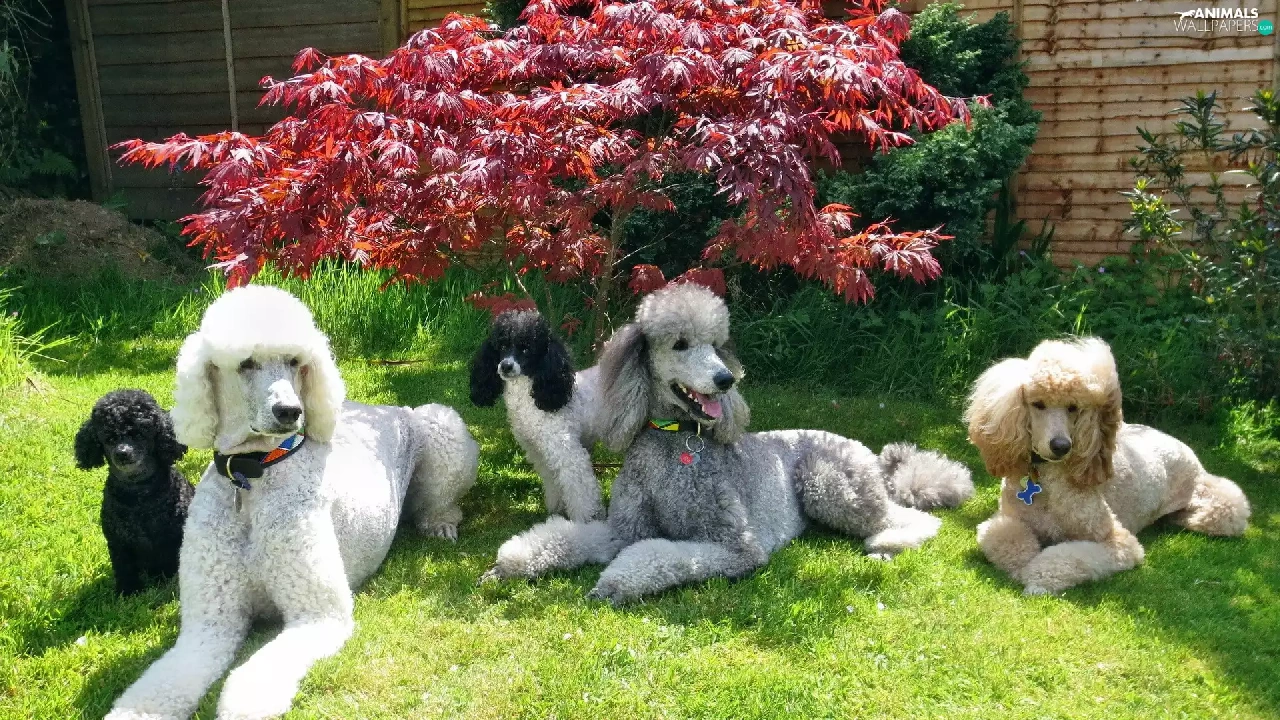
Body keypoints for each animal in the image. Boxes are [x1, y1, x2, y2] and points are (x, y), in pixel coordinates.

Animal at [74, 389, 192, 595]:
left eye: (140, 434)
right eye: (109, 438)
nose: (122, 453)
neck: (139, 496)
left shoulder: (174, 538)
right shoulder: (118, 542)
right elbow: (124, 567)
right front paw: (128, 591)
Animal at [106, 285, 479, 720]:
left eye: (294, 361)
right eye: (246, 363)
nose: (290, 411)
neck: (254, 474)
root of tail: (384, 408)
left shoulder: (316, 616)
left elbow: (257, 674)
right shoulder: (211, 622)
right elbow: (163, 683)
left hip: (440, 425)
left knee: (442, 501)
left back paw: (440, 522)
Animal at [470, 309, 603, 521]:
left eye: (526, 349)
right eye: (502, 346)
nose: (505, 366)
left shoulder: (569, 454)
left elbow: (581, 491)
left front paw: (586, 520)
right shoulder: (540, 451)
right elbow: (554, 481)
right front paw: (557, 509)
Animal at [965, 337, 1251, 595]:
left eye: (1073, 407)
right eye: (1037, 404)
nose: (1061, 446)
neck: (1046, 481)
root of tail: (1178, 442)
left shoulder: (1117, 541)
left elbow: (1069, 556)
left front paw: (1037, 576)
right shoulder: (1004, 520)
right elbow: (1003, 539)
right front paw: (1024, 564)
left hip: (1216, 504)